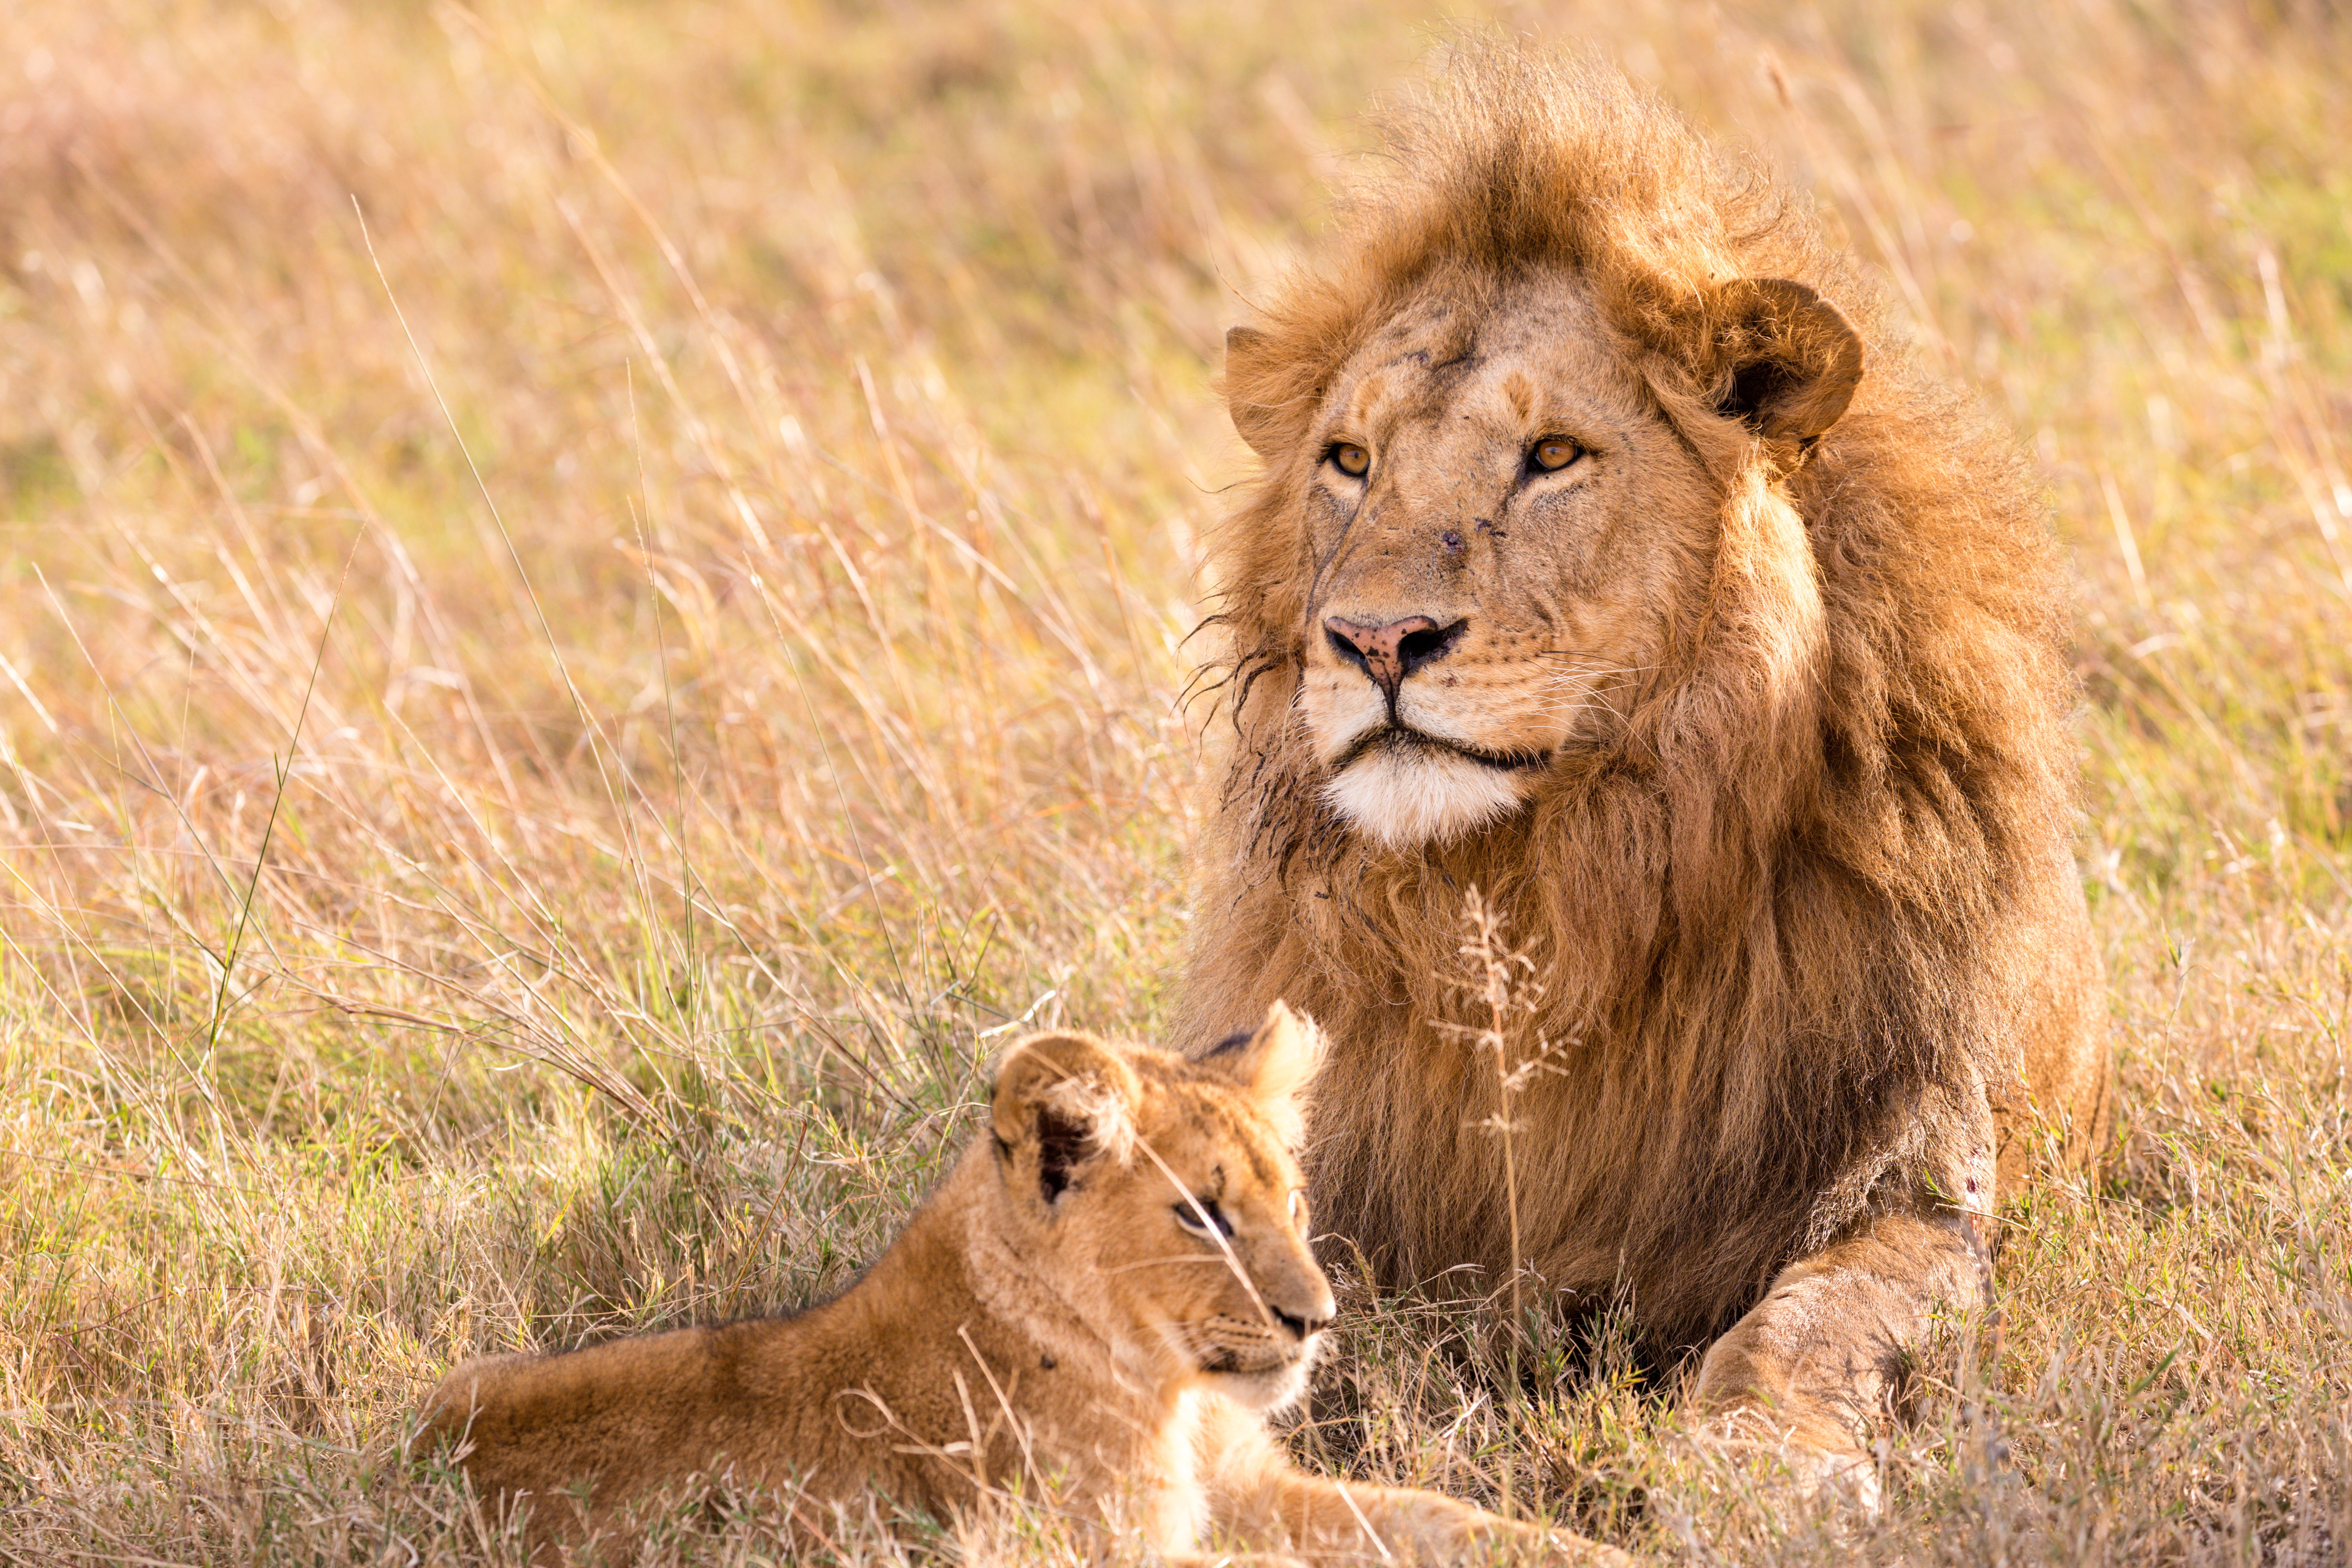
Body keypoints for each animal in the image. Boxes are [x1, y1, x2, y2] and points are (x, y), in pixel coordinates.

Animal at [1176, 49, 2117, 1495]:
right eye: (1348, 461)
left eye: (1553, 456)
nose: (1376, 639)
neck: (1542, 889)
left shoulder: (1909, 1163)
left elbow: (1815, 1315)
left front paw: (1761, 1468)